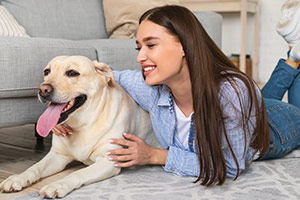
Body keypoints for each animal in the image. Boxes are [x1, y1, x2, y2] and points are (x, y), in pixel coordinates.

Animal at [0, 55, 159, 198]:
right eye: (47, 71)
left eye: (72, 73)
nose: (43, 90)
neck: (84, 123)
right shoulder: (58, 155)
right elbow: (35, 167)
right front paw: (18, 178)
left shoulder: (108, 161)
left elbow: (78, 173)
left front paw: (58, 184)